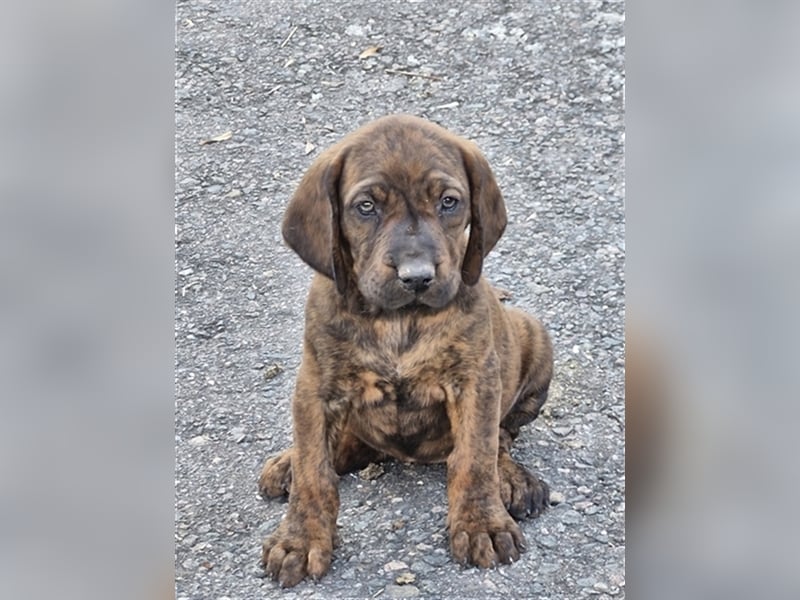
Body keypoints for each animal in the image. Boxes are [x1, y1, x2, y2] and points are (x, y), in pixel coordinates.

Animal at [260, 113, 552, 584]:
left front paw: (482, 524)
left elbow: (475, 456)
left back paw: (512, 479)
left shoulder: (475, 381)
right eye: (366, 207)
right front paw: (300, 539)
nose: (417, 276)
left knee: (502, 439)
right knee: (337, 446)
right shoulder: (316, 386)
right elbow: (313, 470)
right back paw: (291, 462)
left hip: (535, 336)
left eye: (449, 202)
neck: (397, 319)